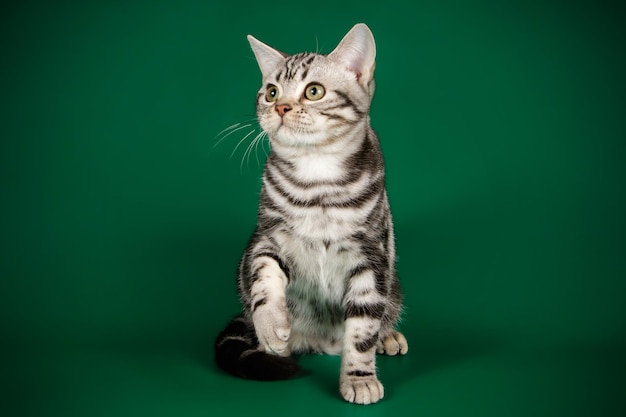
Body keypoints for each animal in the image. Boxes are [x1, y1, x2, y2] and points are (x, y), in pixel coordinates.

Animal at [214, 22, 408, 404]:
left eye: (314, 91)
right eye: (271, 92)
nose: (281, 107)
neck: (316, 178)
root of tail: (322, 343)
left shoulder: (371, 256)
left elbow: (362, 327)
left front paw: (359, 378)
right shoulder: (267, 237)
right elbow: (263, 276)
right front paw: (271, 322)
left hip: (392, 284)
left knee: (381, 314)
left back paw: (387, 336)